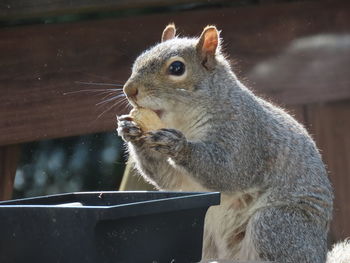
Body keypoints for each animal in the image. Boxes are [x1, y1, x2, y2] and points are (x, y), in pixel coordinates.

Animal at [116, 23, 348, 262]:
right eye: (139, 60)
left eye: (177, 68)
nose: (129, 90)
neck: (183, 120)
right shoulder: (182, 180)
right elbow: (169, 179)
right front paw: (129, 130)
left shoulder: (244, 134)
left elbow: (228, 171)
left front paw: (178, 146)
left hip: (274, 225)